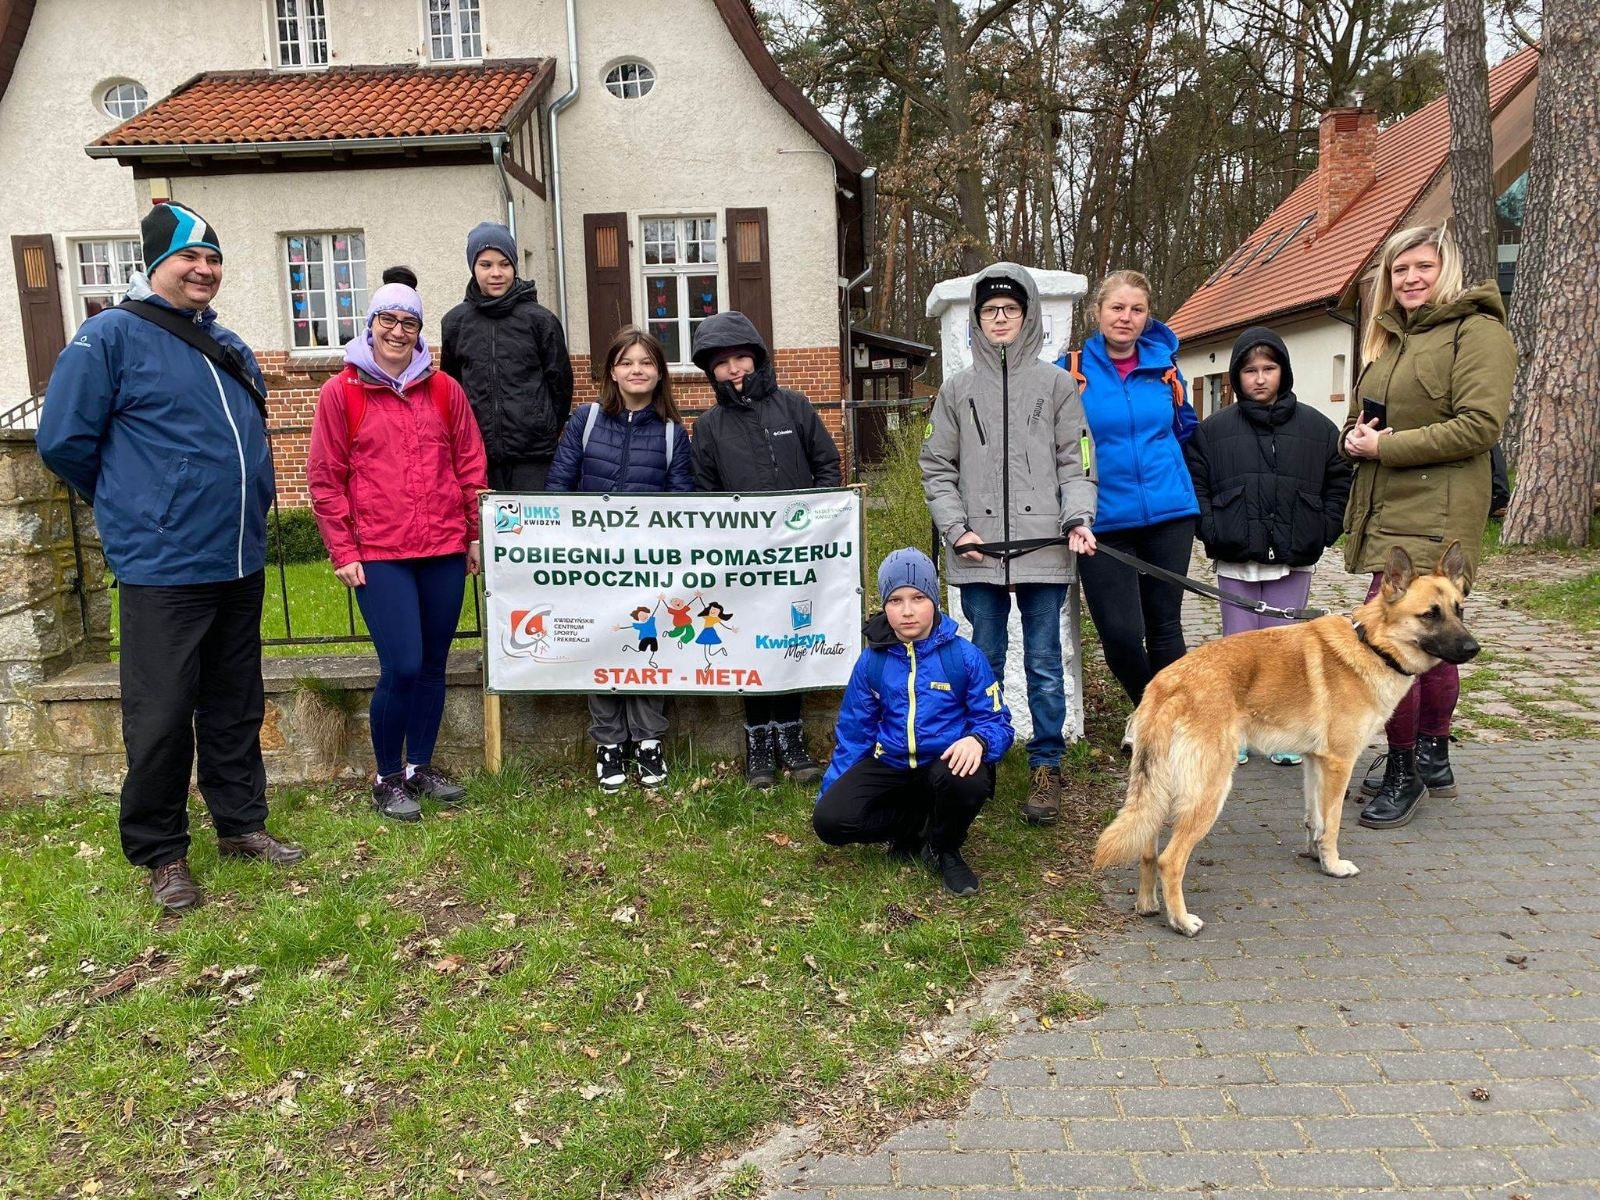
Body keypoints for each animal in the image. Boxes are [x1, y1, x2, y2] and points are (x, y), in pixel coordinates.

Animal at [1094, 544, 1478, 940]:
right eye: (1429, 615)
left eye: (1459, 609)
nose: (1473, 648)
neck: (1372, 644)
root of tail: (1166, 684)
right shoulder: (1339, 763)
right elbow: (1332, 822)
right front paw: (1334, 864)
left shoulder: (1314, 762)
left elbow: (1315, 819)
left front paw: (1316, 855)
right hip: (1210, 792)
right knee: (1170, 859)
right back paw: (1181, 921)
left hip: (1160, 792)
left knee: (1147, 850)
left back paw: (1147, 905)